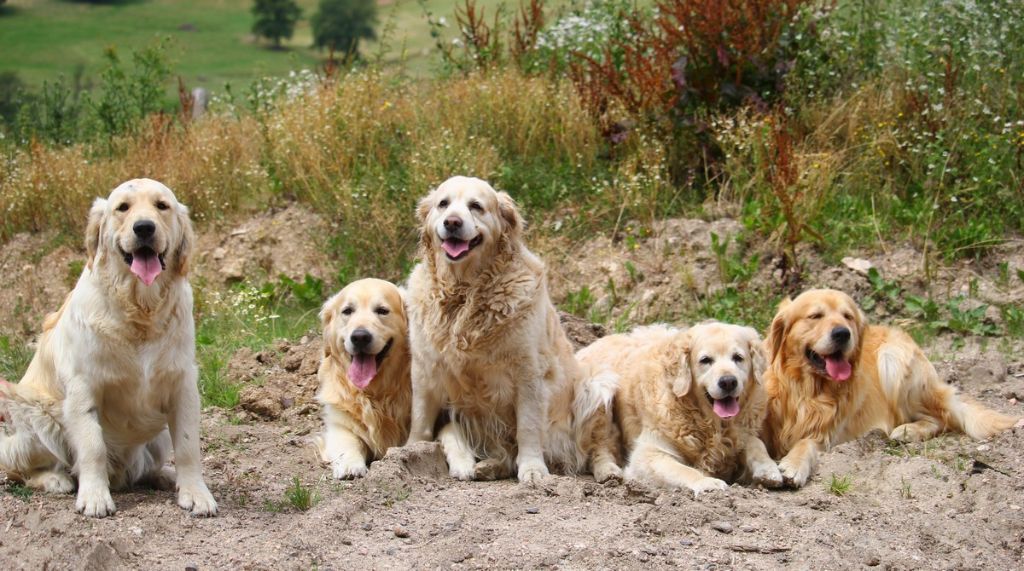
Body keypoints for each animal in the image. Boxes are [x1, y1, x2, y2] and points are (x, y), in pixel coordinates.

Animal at [0, 178, 214, 519]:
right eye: (122, 208)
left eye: (162, 206)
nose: (144, 227)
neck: (140, 311)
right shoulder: (83, 387)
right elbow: (92, 447)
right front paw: (95, 496)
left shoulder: (182, 383)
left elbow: (188, 446)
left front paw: (196, 493)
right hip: (33, 411)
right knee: (19, 468)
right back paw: (54, 479)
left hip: (156, 436)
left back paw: (163, 476)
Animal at [313, 278, 409, 478]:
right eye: (347, 311)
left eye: (382, 310)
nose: (360, 337)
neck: (377, 393)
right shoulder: (340, 424)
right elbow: (349, 443)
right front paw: (350, 465)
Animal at [405, 177, 585, 485]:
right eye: (443, 204)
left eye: (476, 206)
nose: (452, 222)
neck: (464, 292)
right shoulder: (425, 366)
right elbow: (420, 419)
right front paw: (408, 452)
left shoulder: (528, 371)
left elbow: (528, 426)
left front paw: (533, 468)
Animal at [577, 323, 782, 497]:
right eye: (705, 360)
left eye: (738, 358)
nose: (728, 382)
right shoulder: (648, 453)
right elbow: (684, 470)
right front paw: (708, 483)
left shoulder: (741, 433)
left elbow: (756, 443)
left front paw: (769, 469)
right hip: (600, 392)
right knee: (599, 445)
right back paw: (608, 471)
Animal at [765, 288, 1019, 491]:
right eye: (815, 316)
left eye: (847, 316)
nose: (843, 333)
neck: (805, 389)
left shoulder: (824, 433)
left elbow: (805, 443)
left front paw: (793, 465)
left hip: (893, 360)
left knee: (941, 418)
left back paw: (907, 431)